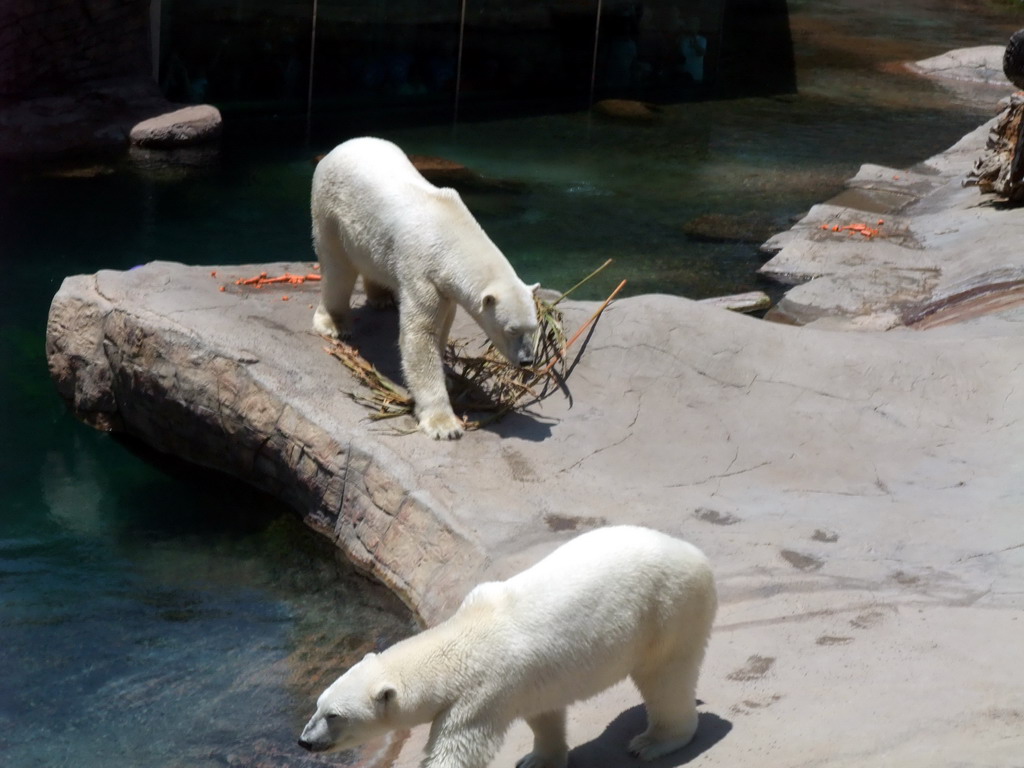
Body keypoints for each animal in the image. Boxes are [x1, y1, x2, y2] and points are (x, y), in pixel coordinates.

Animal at [296, 528, 716, 768]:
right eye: (317, 705)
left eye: (334, 716)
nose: (304, 741)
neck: (459, 641)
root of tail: (696, 554)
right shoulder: (531, 683)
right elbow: (543, 714)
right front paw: (537, 760)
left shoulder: (479, 696)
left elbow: (456, 751)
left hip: (669, 609)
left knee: (666, 678)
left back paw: (654, 743)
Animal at [309, 137, 540, 438]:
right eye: (511, 329)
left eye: (534, 327)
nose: (527, 361)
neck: (452, 230)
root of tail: (338, 148)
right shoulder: (422, 270)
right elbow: (420, 335)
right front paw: (445, 425)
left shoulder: (444, 285)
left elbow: (442, 326)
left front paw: (448, 380)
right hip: (331, 207)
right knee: (338, 267)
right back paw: (334, 323)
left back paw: (382, 297)